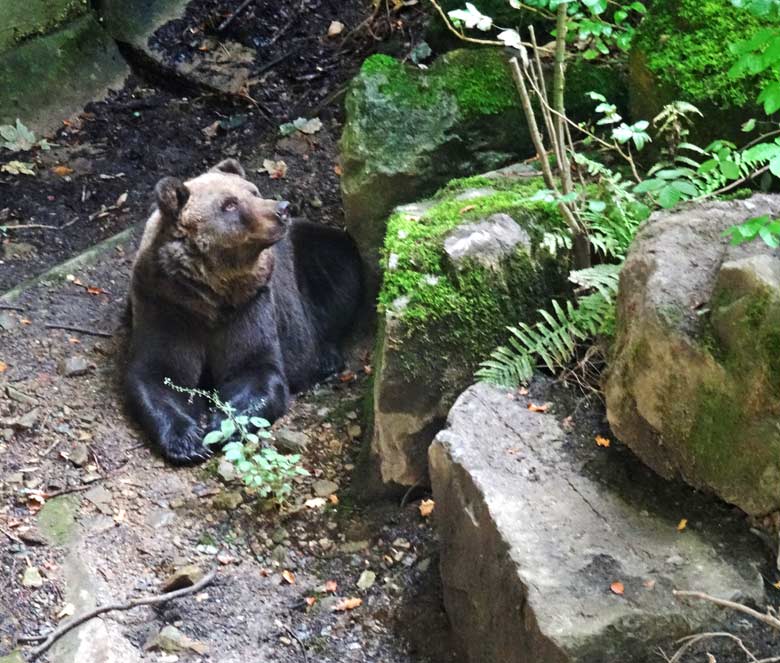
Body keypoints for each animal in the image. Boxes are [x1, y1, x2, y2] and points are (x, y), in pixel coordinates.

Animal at [125, 159, 362, 464]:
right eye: (229, 204)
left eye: (253, 191)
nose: (282, 209)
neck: (210, 294)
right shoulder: (166, 305)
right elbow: (159, 375)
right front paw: (187, 441)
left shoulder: (250, 303)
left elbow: (255, 368)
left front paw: (223, 429)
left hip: (314, 258)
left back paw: (326, 359)